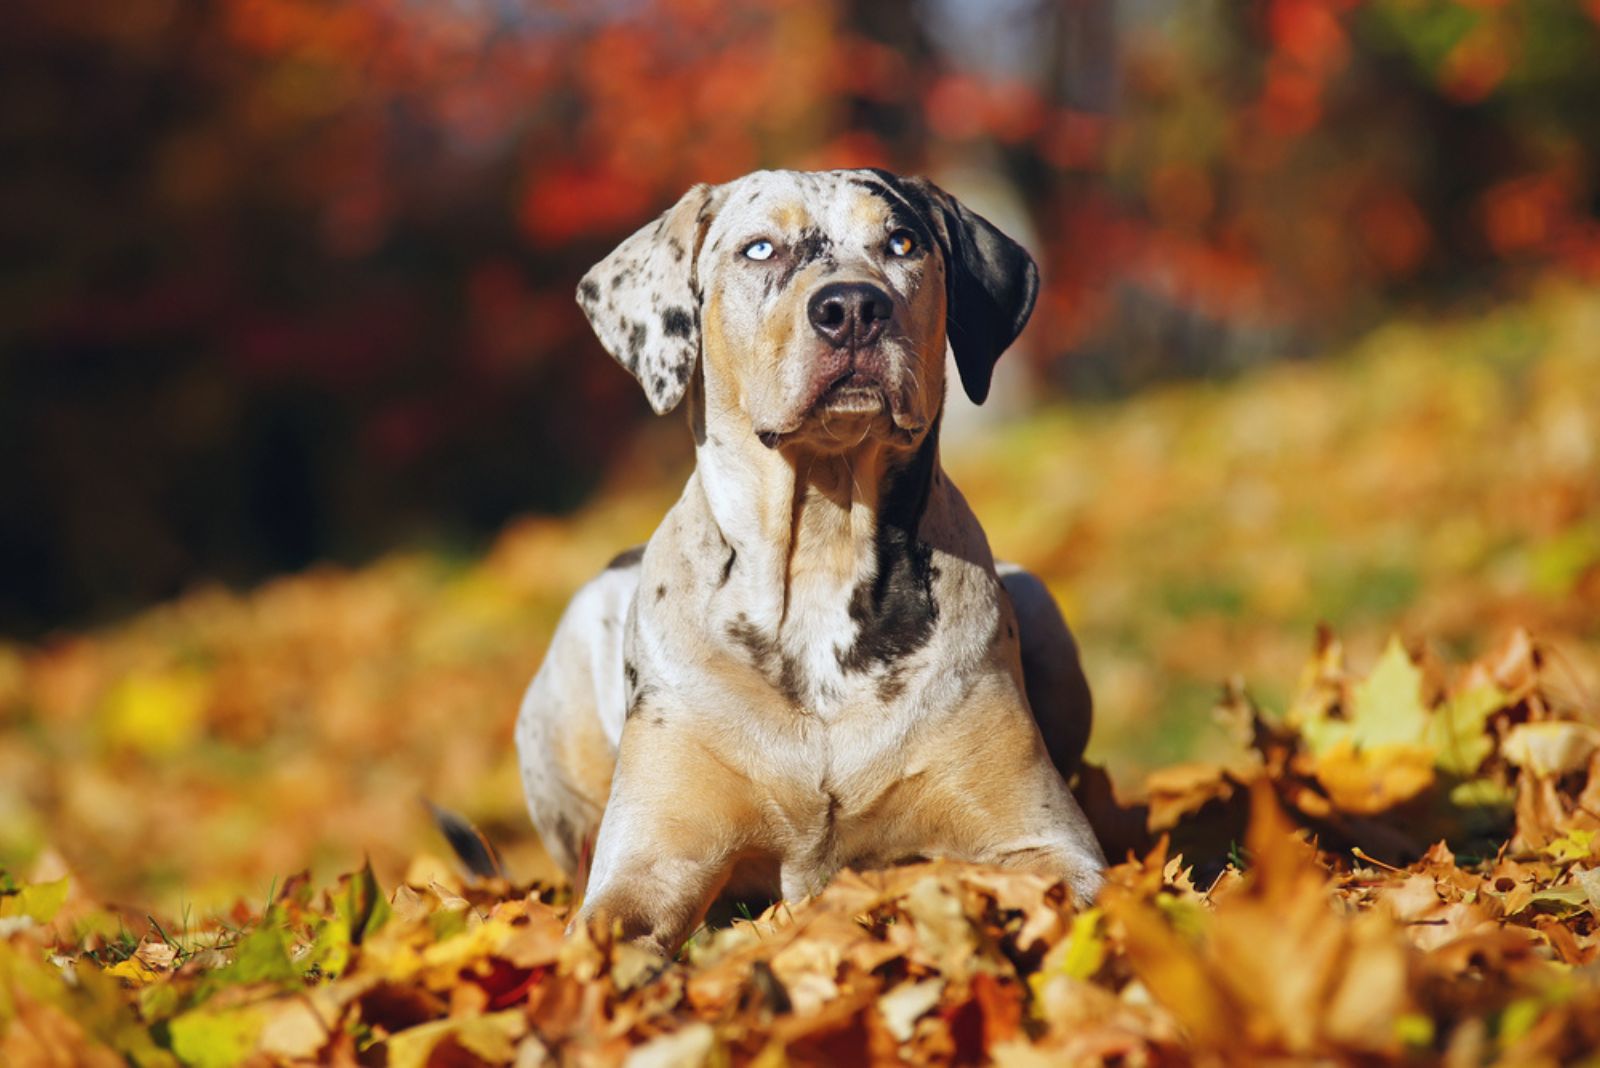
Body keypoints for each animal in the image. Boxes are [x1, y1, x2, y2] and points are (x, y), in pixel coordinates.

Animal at [518, 171, 1107, 952]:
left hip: (1040, 606)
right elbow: (606, 937)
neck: (823, 555)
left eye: (902, 242)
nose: (852, 307)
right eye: (759, 248)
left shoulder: (1046, 840)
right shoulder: (650, 862)